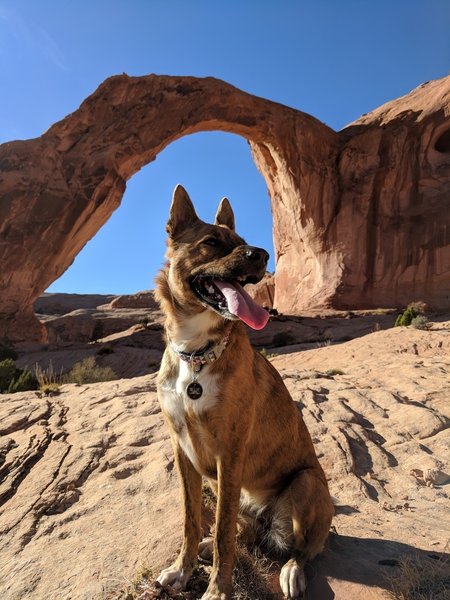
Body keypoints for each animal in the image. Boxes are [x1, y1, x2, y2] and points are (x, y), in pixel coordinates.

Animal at [156, 185, 334, 596]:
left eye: (243, 242)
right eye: (211, 243)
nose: (263, 255)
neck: (197, 353)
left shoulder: (229, 453)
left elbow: (223, 531)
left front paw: (217, 590)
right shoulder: (183, 451)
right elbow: (192, 521)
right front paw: (183, 569)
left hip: (307, 485)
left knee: (305, 550)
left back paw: (291, 571)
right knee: (247, 531)